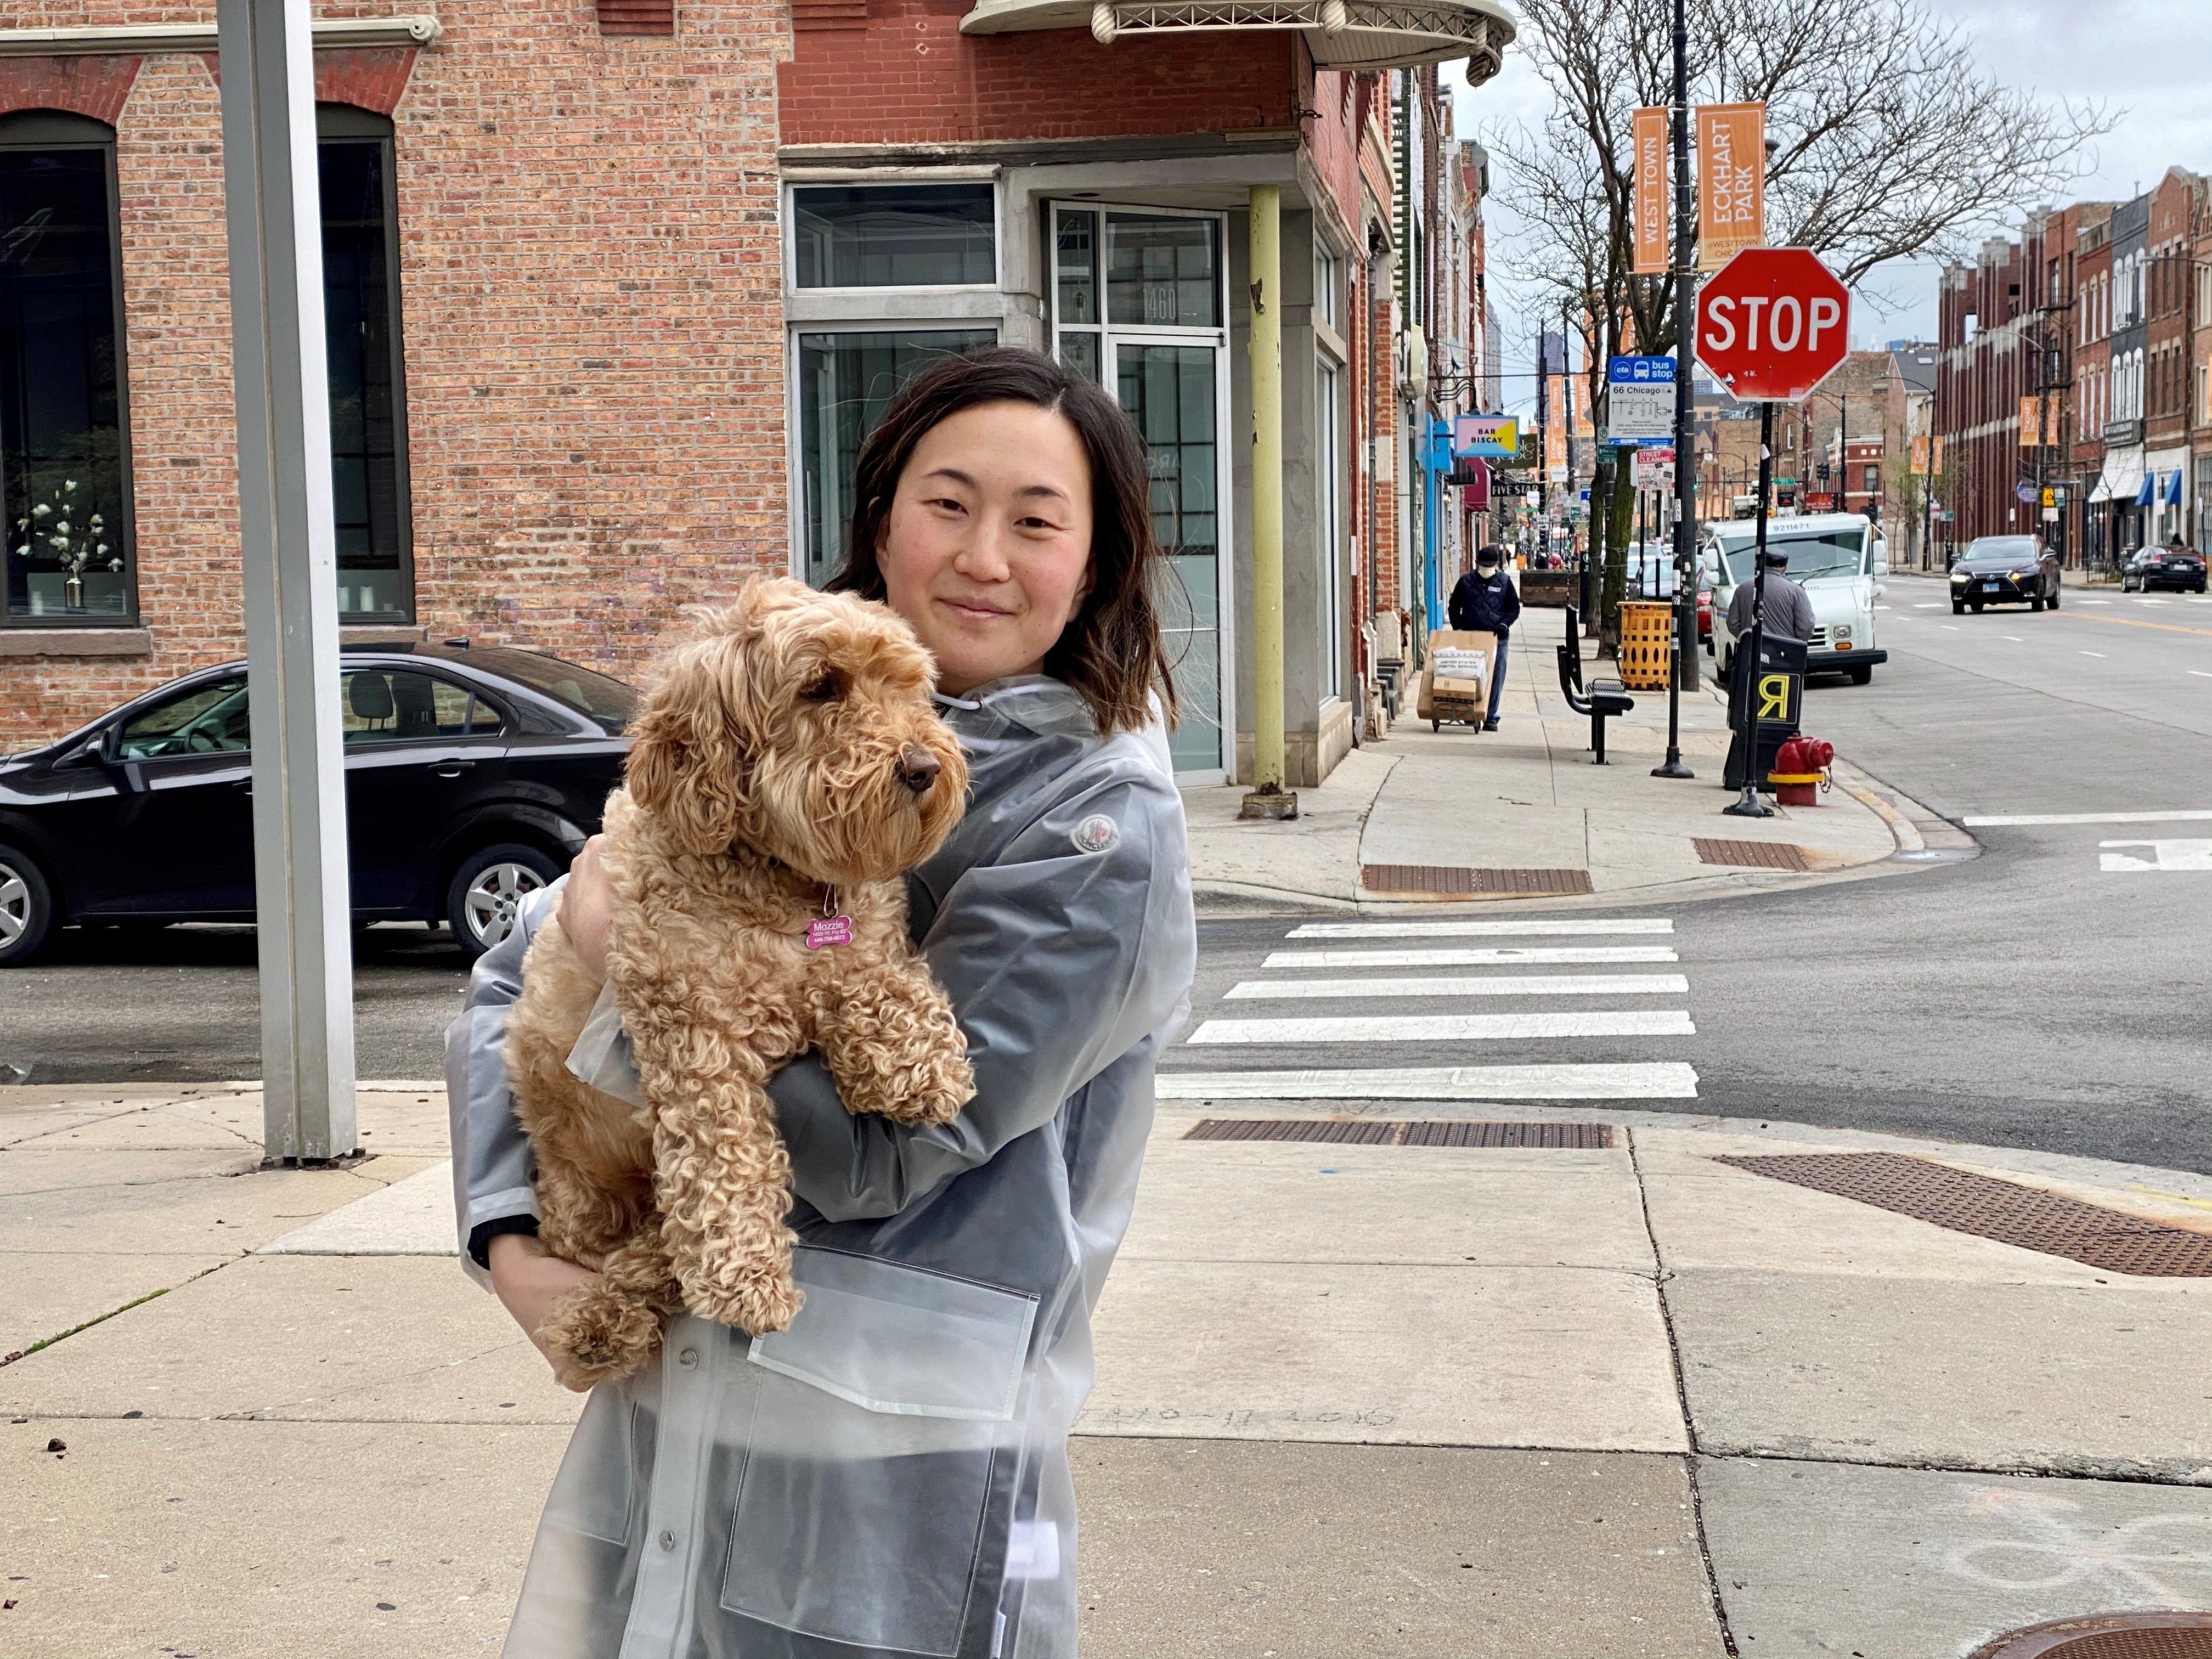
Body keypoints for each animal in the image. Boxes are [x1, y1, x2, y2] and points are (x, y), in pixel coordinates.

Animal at [513, 584, 982, 1389]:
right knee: (600, 1252)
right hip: (577, 1178)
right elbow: (723, 1165)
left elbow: (873, 977)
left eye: (908, 687)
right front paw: (747, 1279)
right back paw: (601, 1322)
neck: (778, 878)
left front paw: (917, 1058)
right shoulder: (694, 1031)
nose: (924, 766)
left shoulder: (863, 938)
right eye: (821, 687)